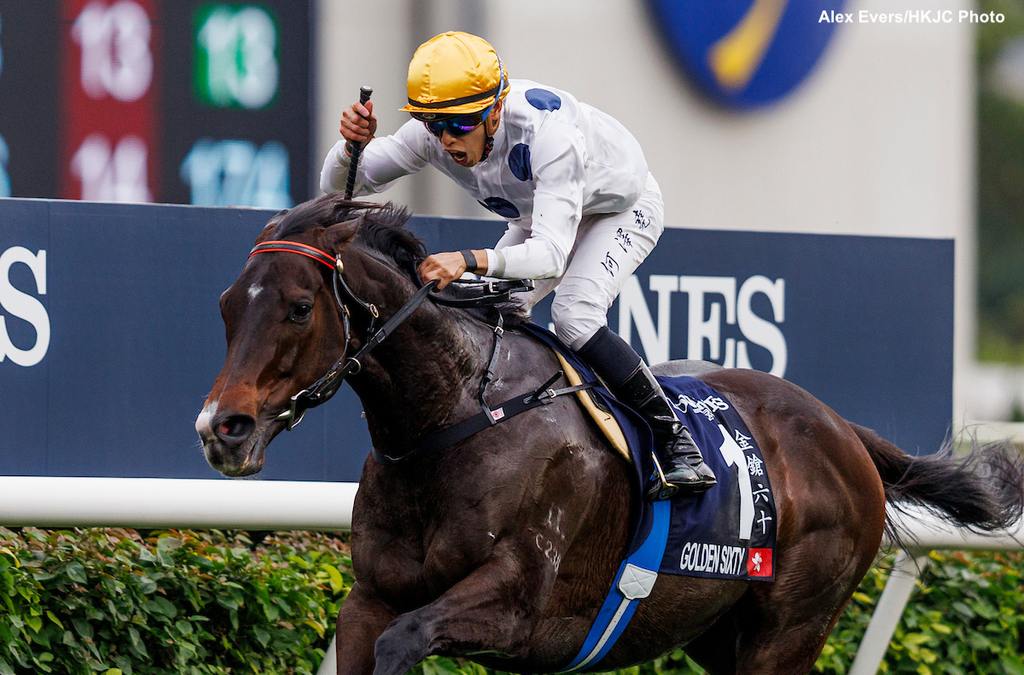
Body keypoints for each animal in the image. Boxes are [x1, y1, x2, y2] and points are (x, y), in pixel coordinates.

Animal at [193, 192, 1024, 671]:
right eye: (228, 304)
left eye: (300, 306)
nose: (221, 428)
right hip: (722, 633)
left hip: (790, 628)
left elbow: (409, 640)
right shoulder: (369, 597)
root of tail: (843, 430)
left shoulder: (519, 602)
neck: (456, 418)